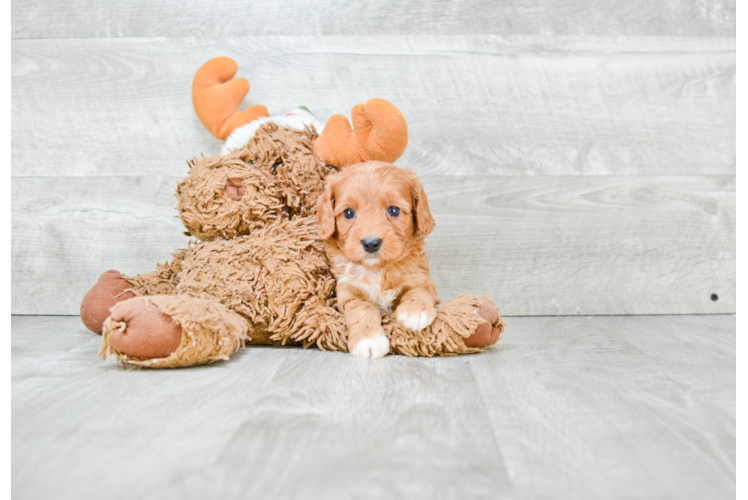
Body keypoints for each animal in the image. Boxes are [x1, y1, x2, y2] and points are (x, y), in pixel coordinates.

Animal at [318, 162, 438, 358]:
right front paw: (368, 339)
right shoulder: (348, 291)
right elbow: (361, 309)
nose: (371, 243)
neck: (378, 269)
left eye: (394, 210)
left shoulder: (421, 278)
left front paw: (415, 310)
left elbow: (419, 290)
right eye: (348, 213)